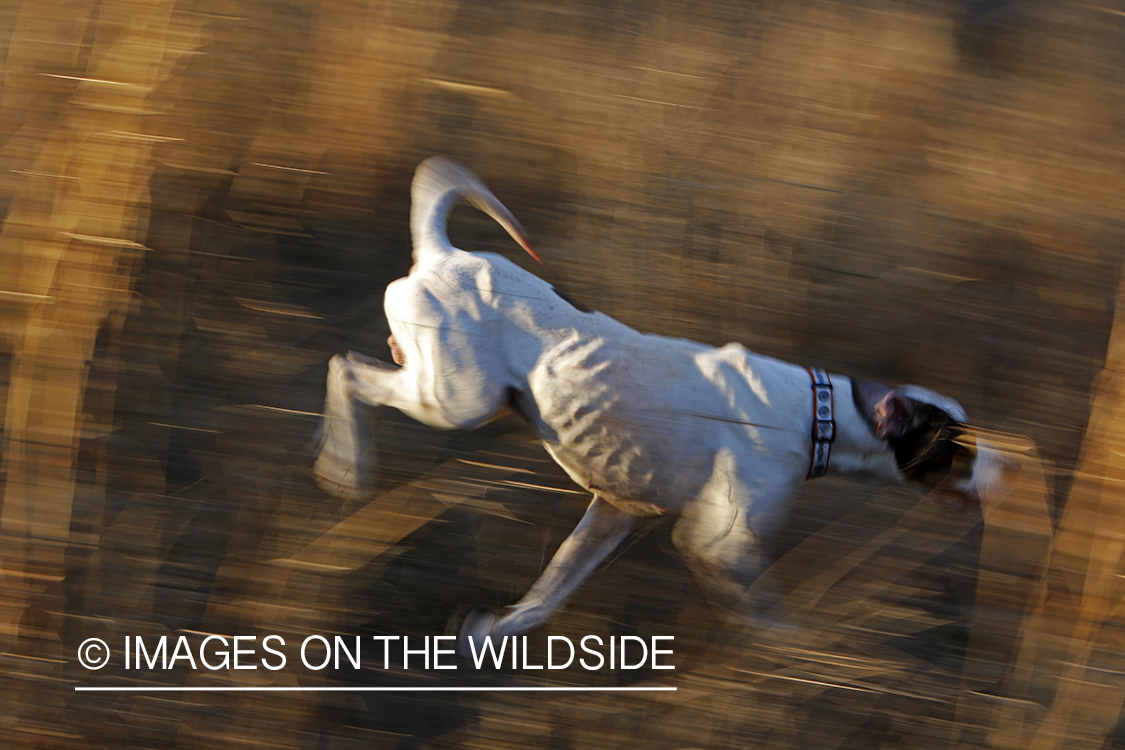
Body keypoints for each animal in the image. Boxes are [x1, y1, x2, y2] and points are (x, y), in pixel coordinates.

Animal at [312, 157, 1008, 647]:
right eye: (958, 448)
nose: (1010, 472)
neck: (824, 413)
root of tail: (441, 251)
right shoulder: (720, 543)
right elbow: (770, 619)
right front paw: (796, 659)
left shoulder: (616, 511)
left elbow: (549, 591)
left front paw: (493, 631)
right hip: (458, 401)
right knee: (344, 370)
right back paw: (346, 467)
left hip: (448, 390)